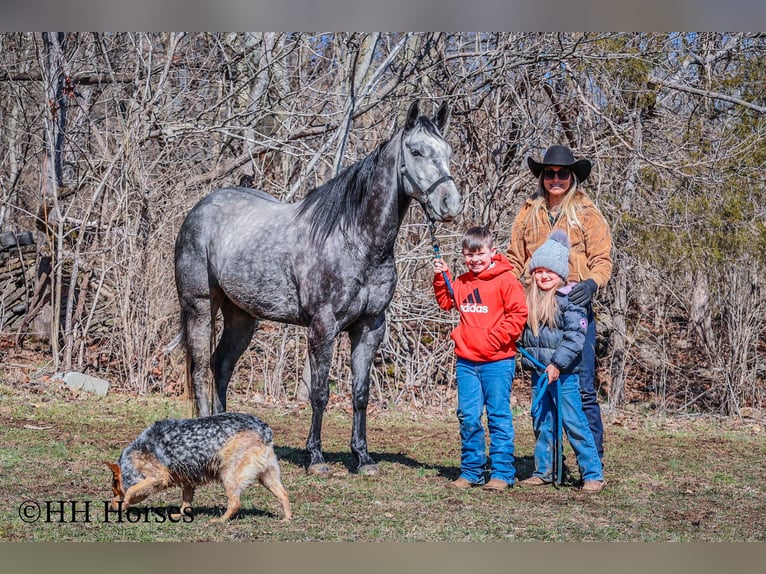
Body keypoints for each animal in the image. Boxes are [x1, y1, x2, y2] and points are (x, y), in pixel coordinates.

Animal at [174, 102, 462, 476]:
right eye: (415, 151)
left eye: (448, 152)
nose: (450, 205)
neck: (356, 239)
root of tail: (202, 208)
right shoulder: (323, 327)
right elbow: (320, 392)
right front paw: (316, 459)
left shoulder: (370, 327)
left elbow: (360, 393)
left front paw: (363, 458)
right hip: (199, 308)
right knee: (199, 371)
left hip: (242, 316)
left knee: (221, 365)